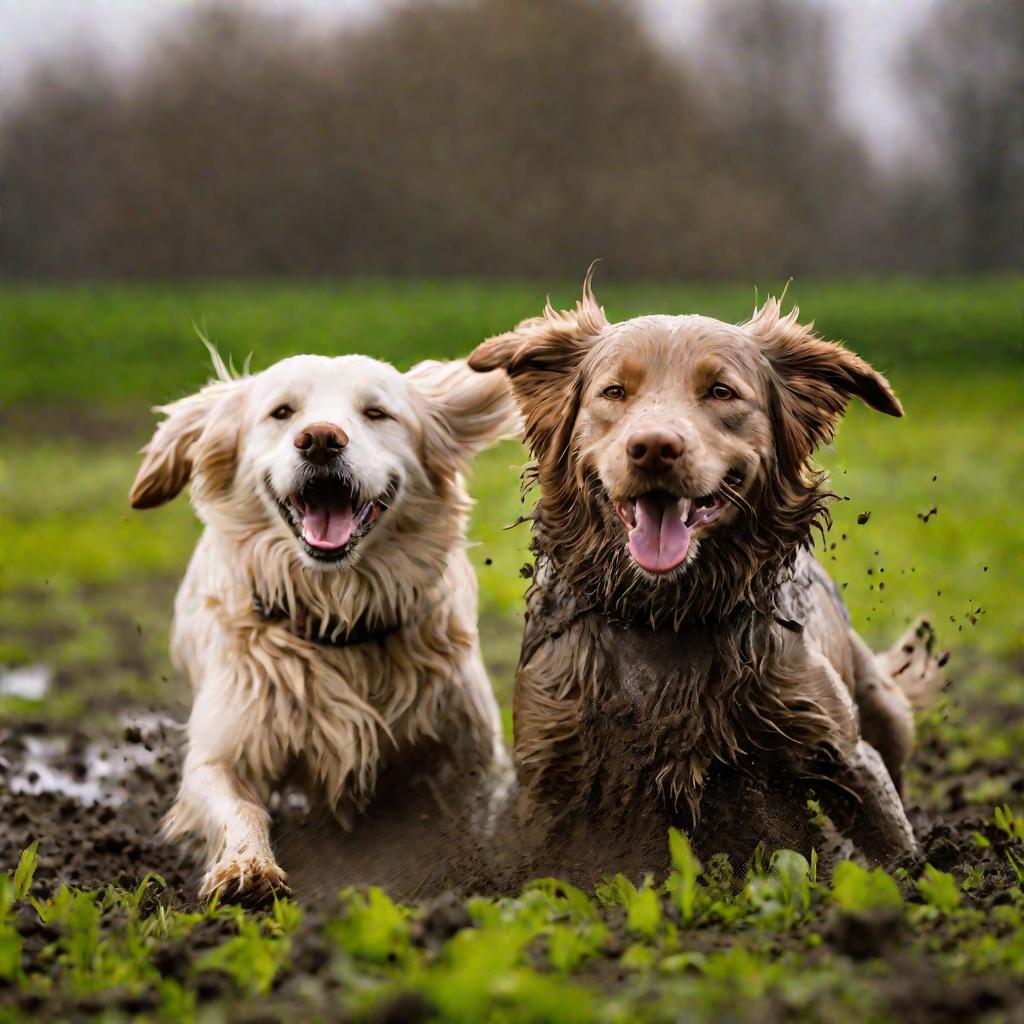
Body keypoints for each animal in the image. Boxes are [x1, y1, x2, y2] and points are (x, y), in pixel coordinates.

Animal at [132, 352, 516, 905]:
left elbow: (463, 820)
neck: (337, 611)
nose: (319, 439)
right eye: (282, 412)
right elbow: (238, 804)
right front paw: (247, 866)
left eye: (377, 413)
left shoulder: (471, 751)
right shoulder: (222, 749)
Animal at [468, 282, 937, 888]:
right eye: (613, 391)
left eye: (721, 392)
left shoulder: (842, 753)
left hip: (885, 708)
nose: (653, 447)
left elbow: (893, 852)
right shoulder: (549, 769)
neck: (666, 617)